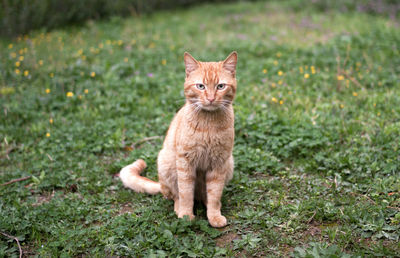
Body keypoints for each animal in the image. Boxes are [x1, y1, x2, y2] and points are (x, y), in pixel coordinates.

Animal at [119, 51, 238, 228]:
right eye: (200, 86)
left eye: (220, 86)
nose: (210, 98)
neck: (208, 125)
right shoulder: (185, 163)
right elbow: (186, 193)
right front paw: (186, 215)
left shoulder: (219, 164)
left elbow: (214, 194)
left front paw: (214, 216)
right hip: (167, 164)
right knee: (175, 195)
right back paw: (178, 208)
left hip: (229, 164)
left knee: (205, 197)